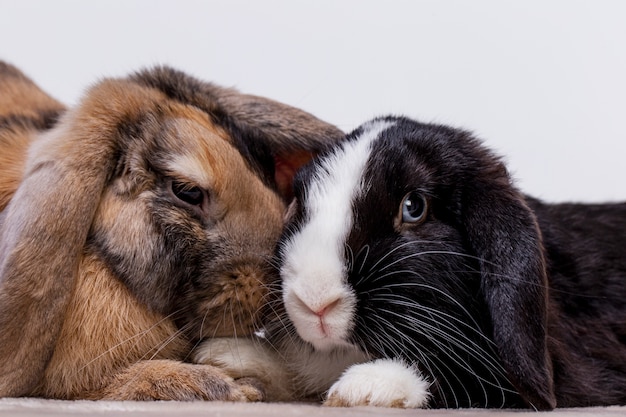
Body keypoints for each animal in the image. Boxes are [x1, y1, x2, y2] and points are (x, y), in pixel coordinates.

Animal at [199, 116, 624, 410]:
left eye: (414, 207)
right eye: (298, 204)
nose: (315, 301)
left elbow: (462, 374)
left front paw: (366, 387)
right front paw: (227, 355)